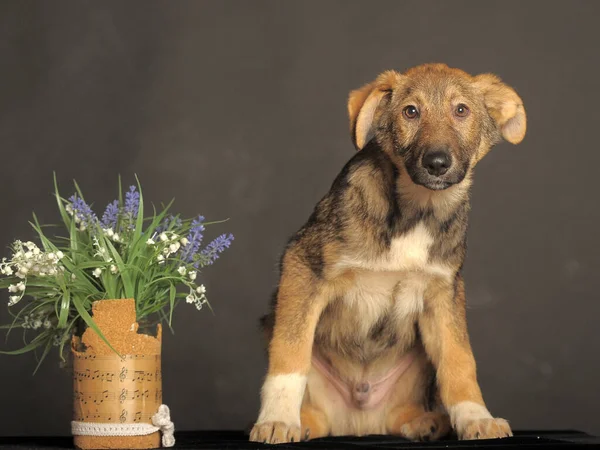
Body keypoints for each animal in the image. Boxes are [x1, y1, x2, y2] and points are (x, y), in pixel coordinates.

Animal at [248, 63, 524, 442]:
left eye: (461, 110)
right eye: (411, 112)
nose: (437, 162)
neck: (416, 210)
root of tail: (360, 424)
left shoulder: (445, 292)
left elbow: (459, 361)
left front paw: (475, 418)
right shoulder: (303, 265)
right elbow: (290, 354)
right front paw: (278, 420)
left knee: (402, 413)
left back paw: (427, 422)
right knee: (314, 407)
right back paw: (302, 423)